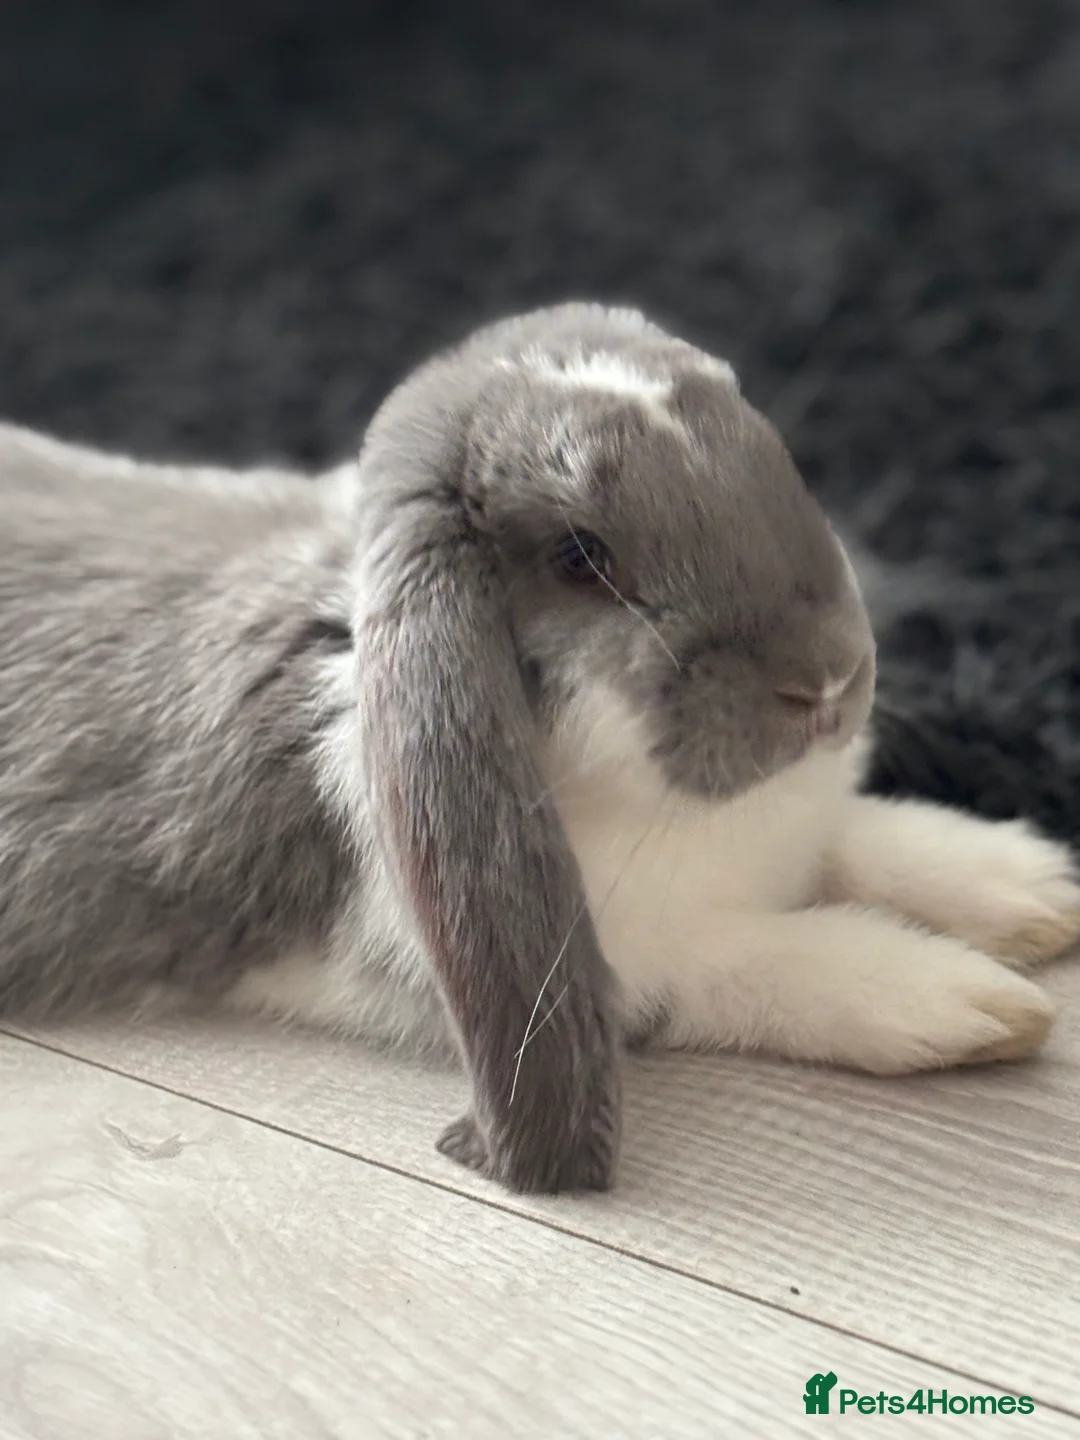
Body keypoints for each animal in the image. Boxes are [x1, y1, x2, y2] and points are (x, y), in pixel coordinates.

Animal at [2, 302, 1078, 1198]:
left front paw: (1031, 887)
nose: (825, 683)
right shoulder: (635, 957)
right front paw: (966, 1002)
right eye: (579, 557)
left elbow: (859, 840)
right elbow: (764, 956)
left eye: (772, 457)